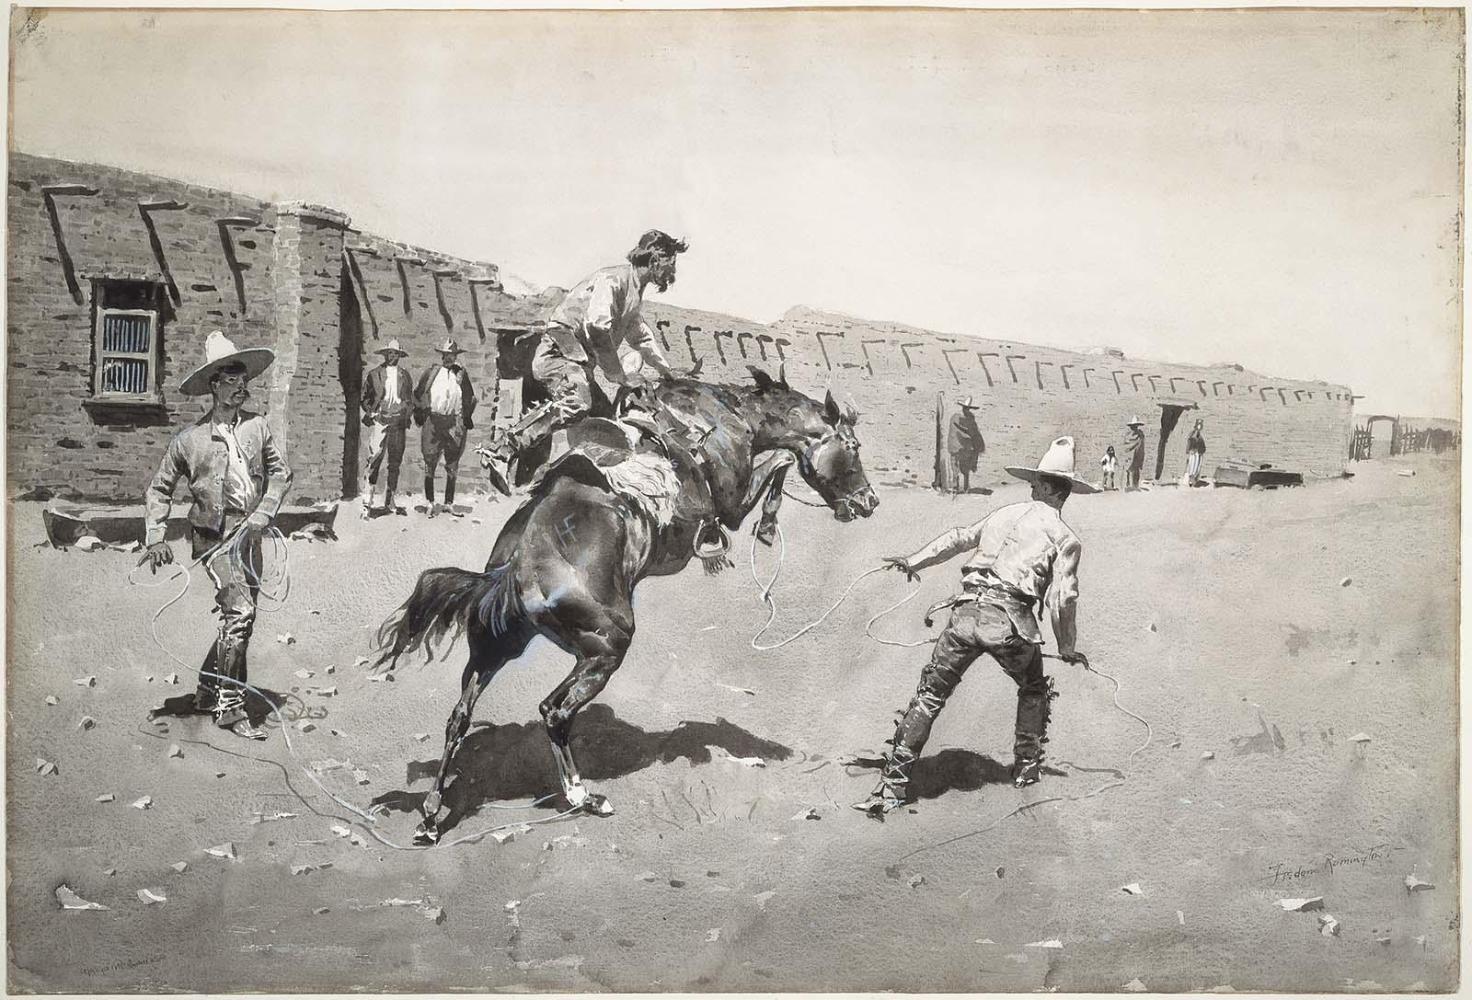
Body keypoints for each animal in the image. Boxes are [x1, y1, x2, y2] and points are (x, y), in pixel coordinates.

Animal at [376, 368, 871, 842]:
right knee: (554, 712)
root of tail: (514, 569)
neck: (728, 420)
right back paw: (583, 796)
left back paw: (431, 817)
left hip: (497, 647)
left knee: (460, 718)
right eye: (852, 445)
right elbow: (781, 462)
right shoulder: (731, 506)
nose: (870, 501)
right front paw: (767, 526)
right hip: (605, 646)